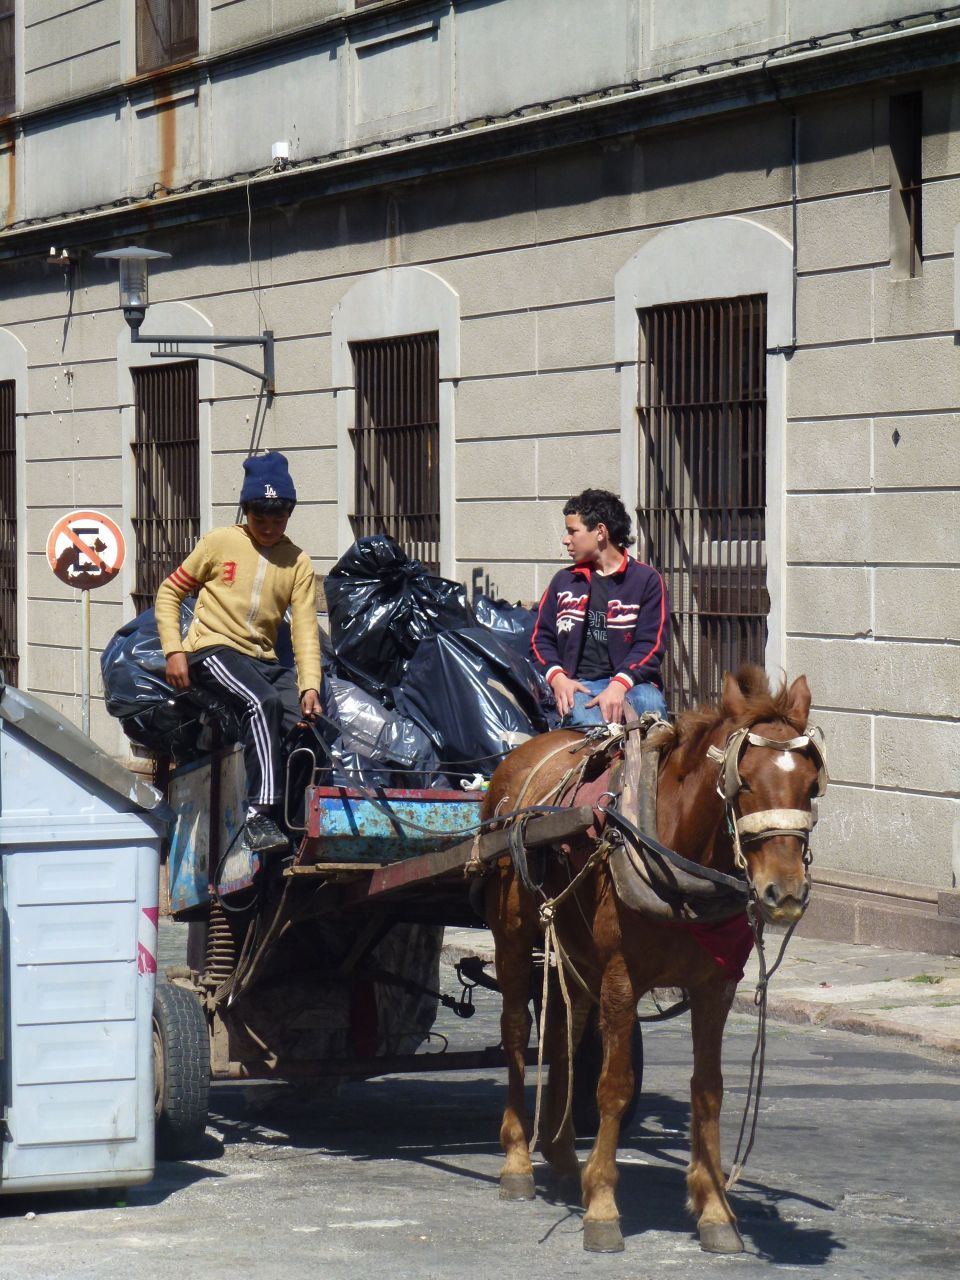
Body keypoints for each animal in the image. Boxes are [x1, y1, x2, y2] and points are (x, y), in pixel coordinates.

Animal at [481, 665, 827, 1254]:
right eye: (744, 783)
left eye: (810, 785)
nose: (784, 893)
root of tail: (520, 755)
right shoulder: (622, 978)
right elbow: (615, 1087)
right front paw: (602, 1205)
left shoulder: (716, 986)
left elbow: (708, 1090)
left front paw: (714, 1209)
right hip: (511, 930)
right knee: (515, 1030)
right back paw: (518, 1159)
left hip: (576, 949)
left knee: (565, 1029)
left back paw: (561, 1155)